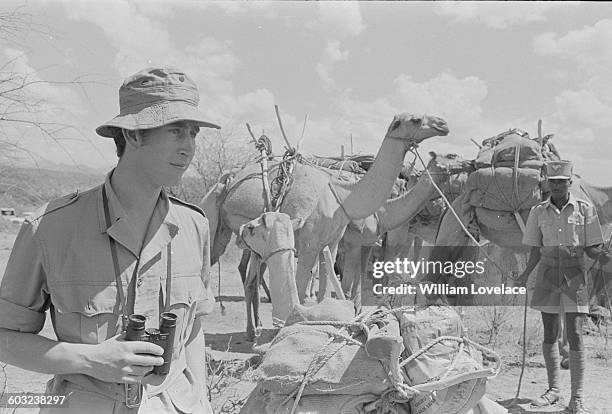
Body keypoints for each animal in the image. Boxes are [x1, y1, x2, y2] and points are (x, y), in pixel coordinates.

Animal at [201, 111, 450, 338]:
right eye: (416, 119)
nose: (443, 124)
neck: (342, 197)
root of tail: (228, 177)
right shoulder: (317, 245)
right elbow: (309, 287)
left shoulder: (333, 243)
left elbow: (331, 288)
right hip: (212, 219)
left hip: (251, 242)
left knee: (250, 279)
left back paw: (253, 331)